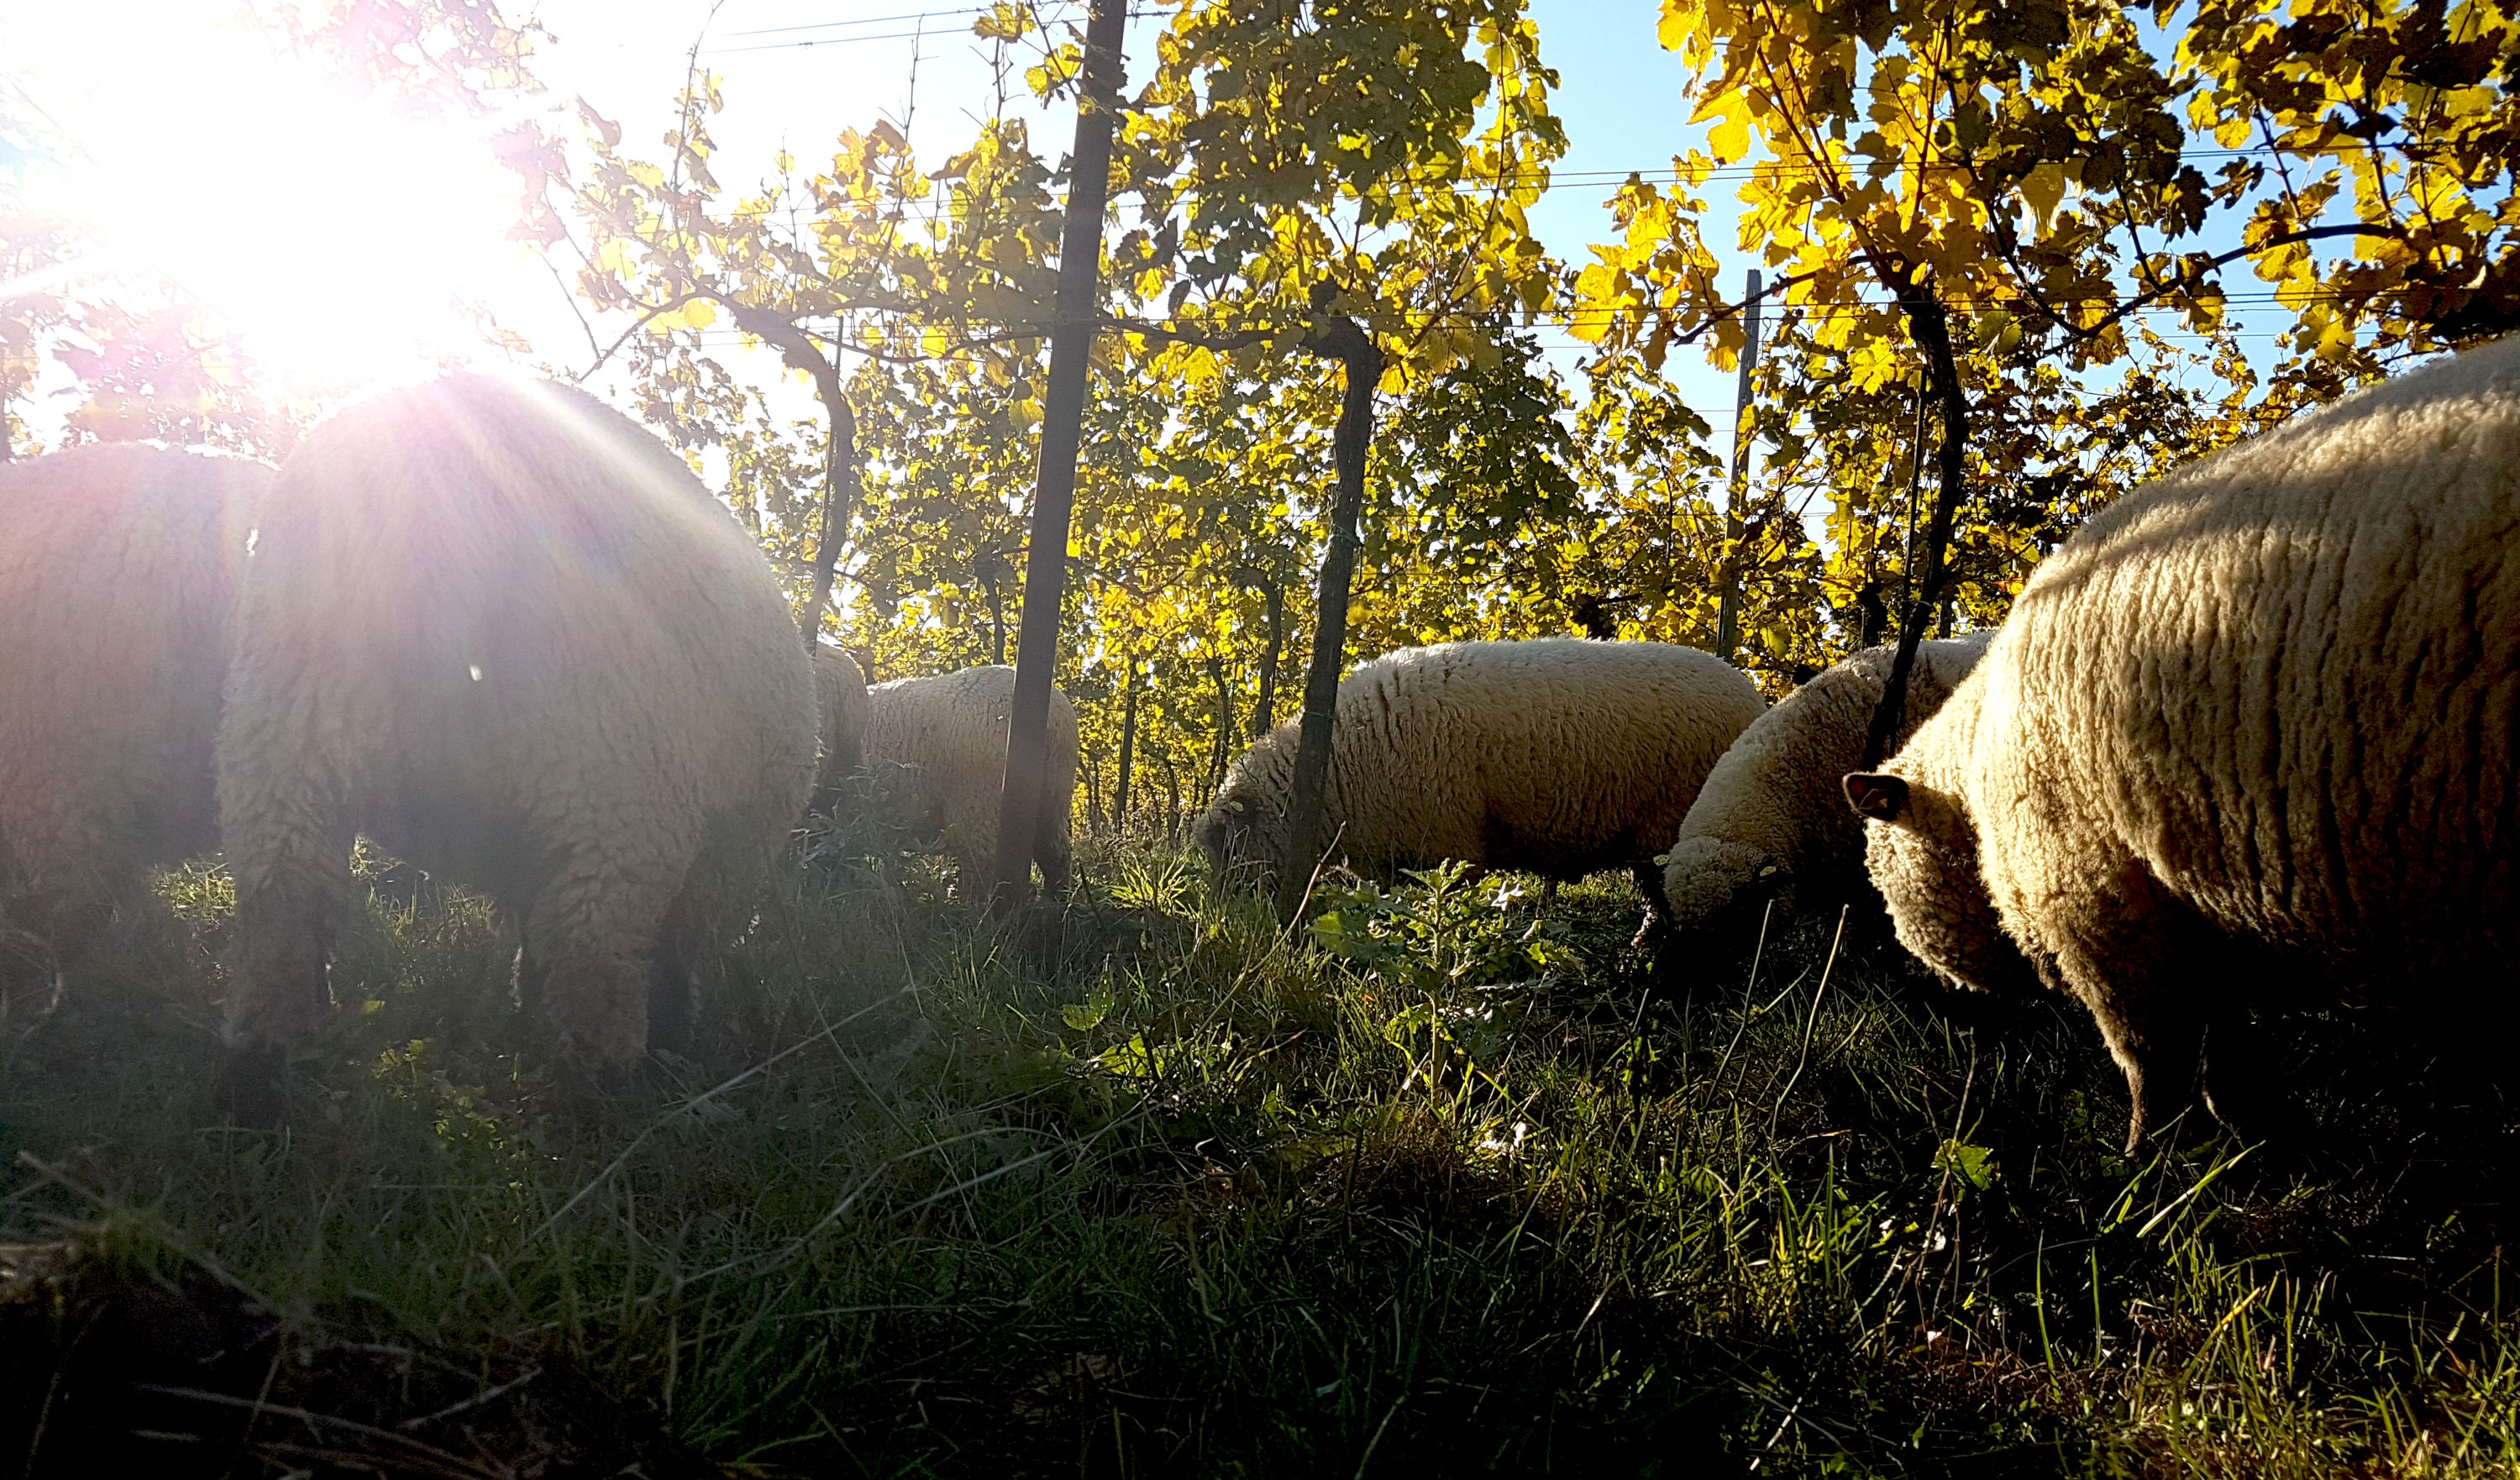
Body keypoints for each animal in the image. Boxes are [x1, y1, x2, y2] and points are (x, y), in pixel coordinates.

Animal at [217, 374, 818, 1076]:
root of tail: (433, 496)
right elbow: (667, 958)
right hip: (612, 760)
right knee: (594, 958)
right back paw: (600, 1081)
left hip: (291, 716)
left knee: (286, 900)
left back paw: (268, 1062)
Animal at [861, 665, 1078, 895]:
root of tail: (1055, 715)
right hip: (1053, 791)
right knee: (1056, 852)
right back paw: (1055, 897)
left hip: (979, 799)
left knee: (981, 862)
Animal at [1843, 335, 2520, 1152]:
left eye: (1881, 872)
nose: (1939, 1004)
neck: (1979, 772)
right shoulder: (2206, 911)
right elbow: (2228, 1052)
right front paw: (2252, 1140)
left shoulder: (2101, 906)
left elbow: (2149, 1059)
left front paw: (2141, 1159)